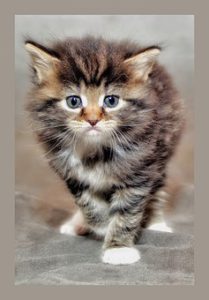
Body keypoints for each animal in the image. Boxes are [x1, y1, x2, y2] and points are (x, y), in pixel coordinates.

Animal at [25, 35, 184, 264]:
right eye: (73, 101)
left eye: (111, 100)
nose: (93, 120)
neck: (96, 150)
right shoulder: (72, 175)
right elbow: (88, 203)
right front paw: (100, 225)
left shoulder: (139, 170)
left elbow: (127, 211)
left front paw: (118, 248)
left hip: (160, 154)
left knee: (156, 191)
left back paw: (157, 223)